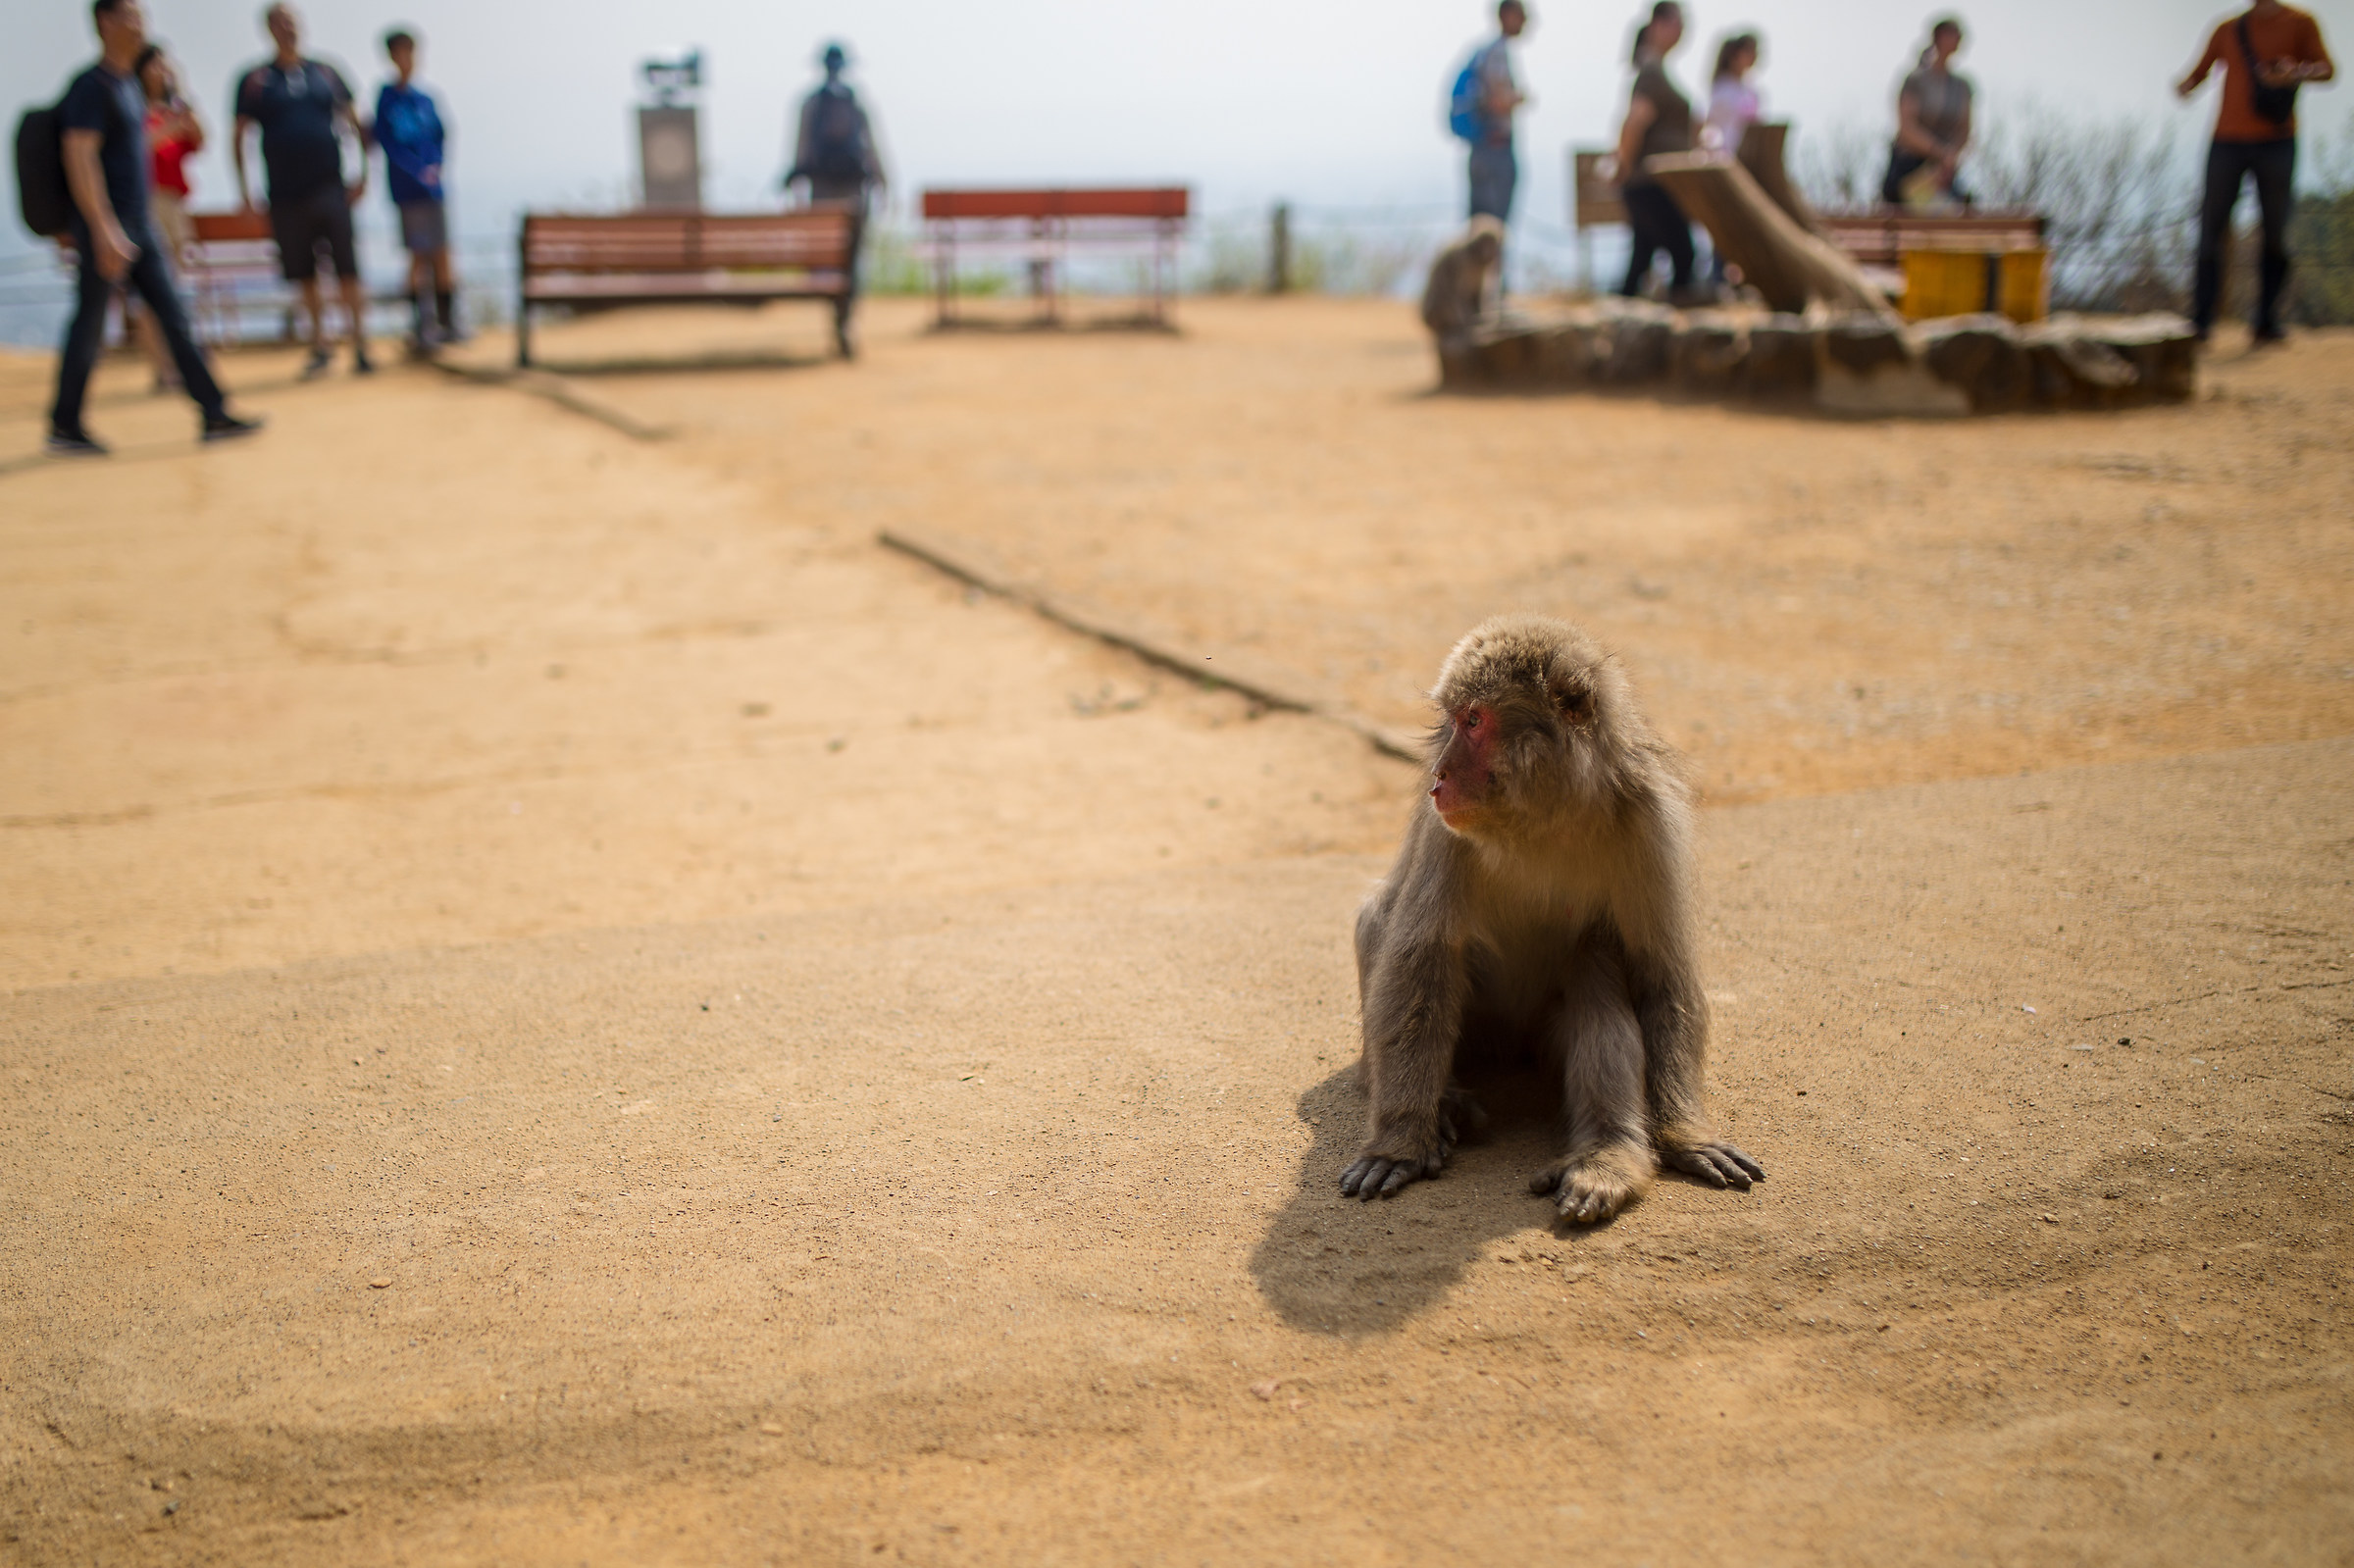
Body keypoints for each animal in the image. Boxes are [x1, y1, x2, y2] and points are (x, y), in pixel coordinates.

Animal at [1346, 612, 1769, 1224]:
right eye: (1454, 721)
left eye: (1474, 721)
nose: (1439, 775)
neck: (1543, 819)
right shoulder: (1445, 832)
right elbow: (1419, 959)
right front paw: (1400, 1142)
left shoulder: (1652, 817)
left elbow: (1662, 975)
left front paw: (1686, 1136)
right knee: (1383, 924)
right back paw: (1449, 1103)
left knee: (1594, 961)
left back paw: (1605, 1160)